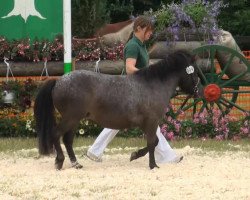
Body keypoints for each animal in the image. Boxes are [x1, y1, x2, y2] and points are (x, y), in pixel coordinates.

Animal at [34, 49, 200, 170]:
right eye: (195, 72)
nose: (197, 91)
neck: (153, 85)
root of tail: (58, 82)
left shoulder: (147, 124)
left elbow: (155, 142)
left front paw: (135, 155)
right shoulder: (152, 122)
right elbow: (153, 143)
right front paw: (153, 165)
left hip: (75, 120)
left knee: (67, 140)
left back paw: (76, 164)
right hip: (71, 118)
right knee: (56, 134)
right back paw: (59, 161)